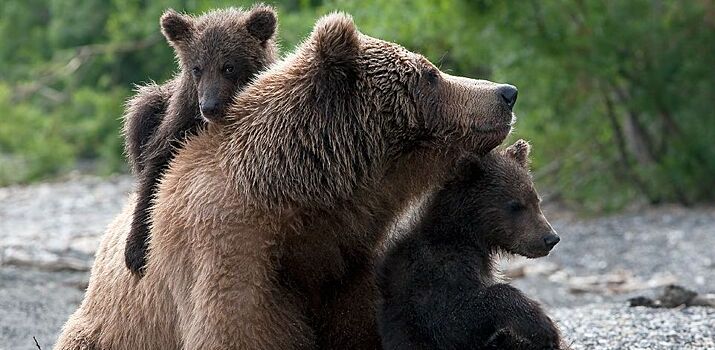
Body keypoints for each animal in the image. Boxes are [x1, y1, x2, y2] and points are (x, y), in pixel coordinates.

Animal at [54, 12, 516, 350]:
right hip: (105, 329)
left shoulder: (352, 265)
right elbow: (239, 330)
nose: (506, 93)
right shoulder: (232, 253)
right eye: (430, 74)